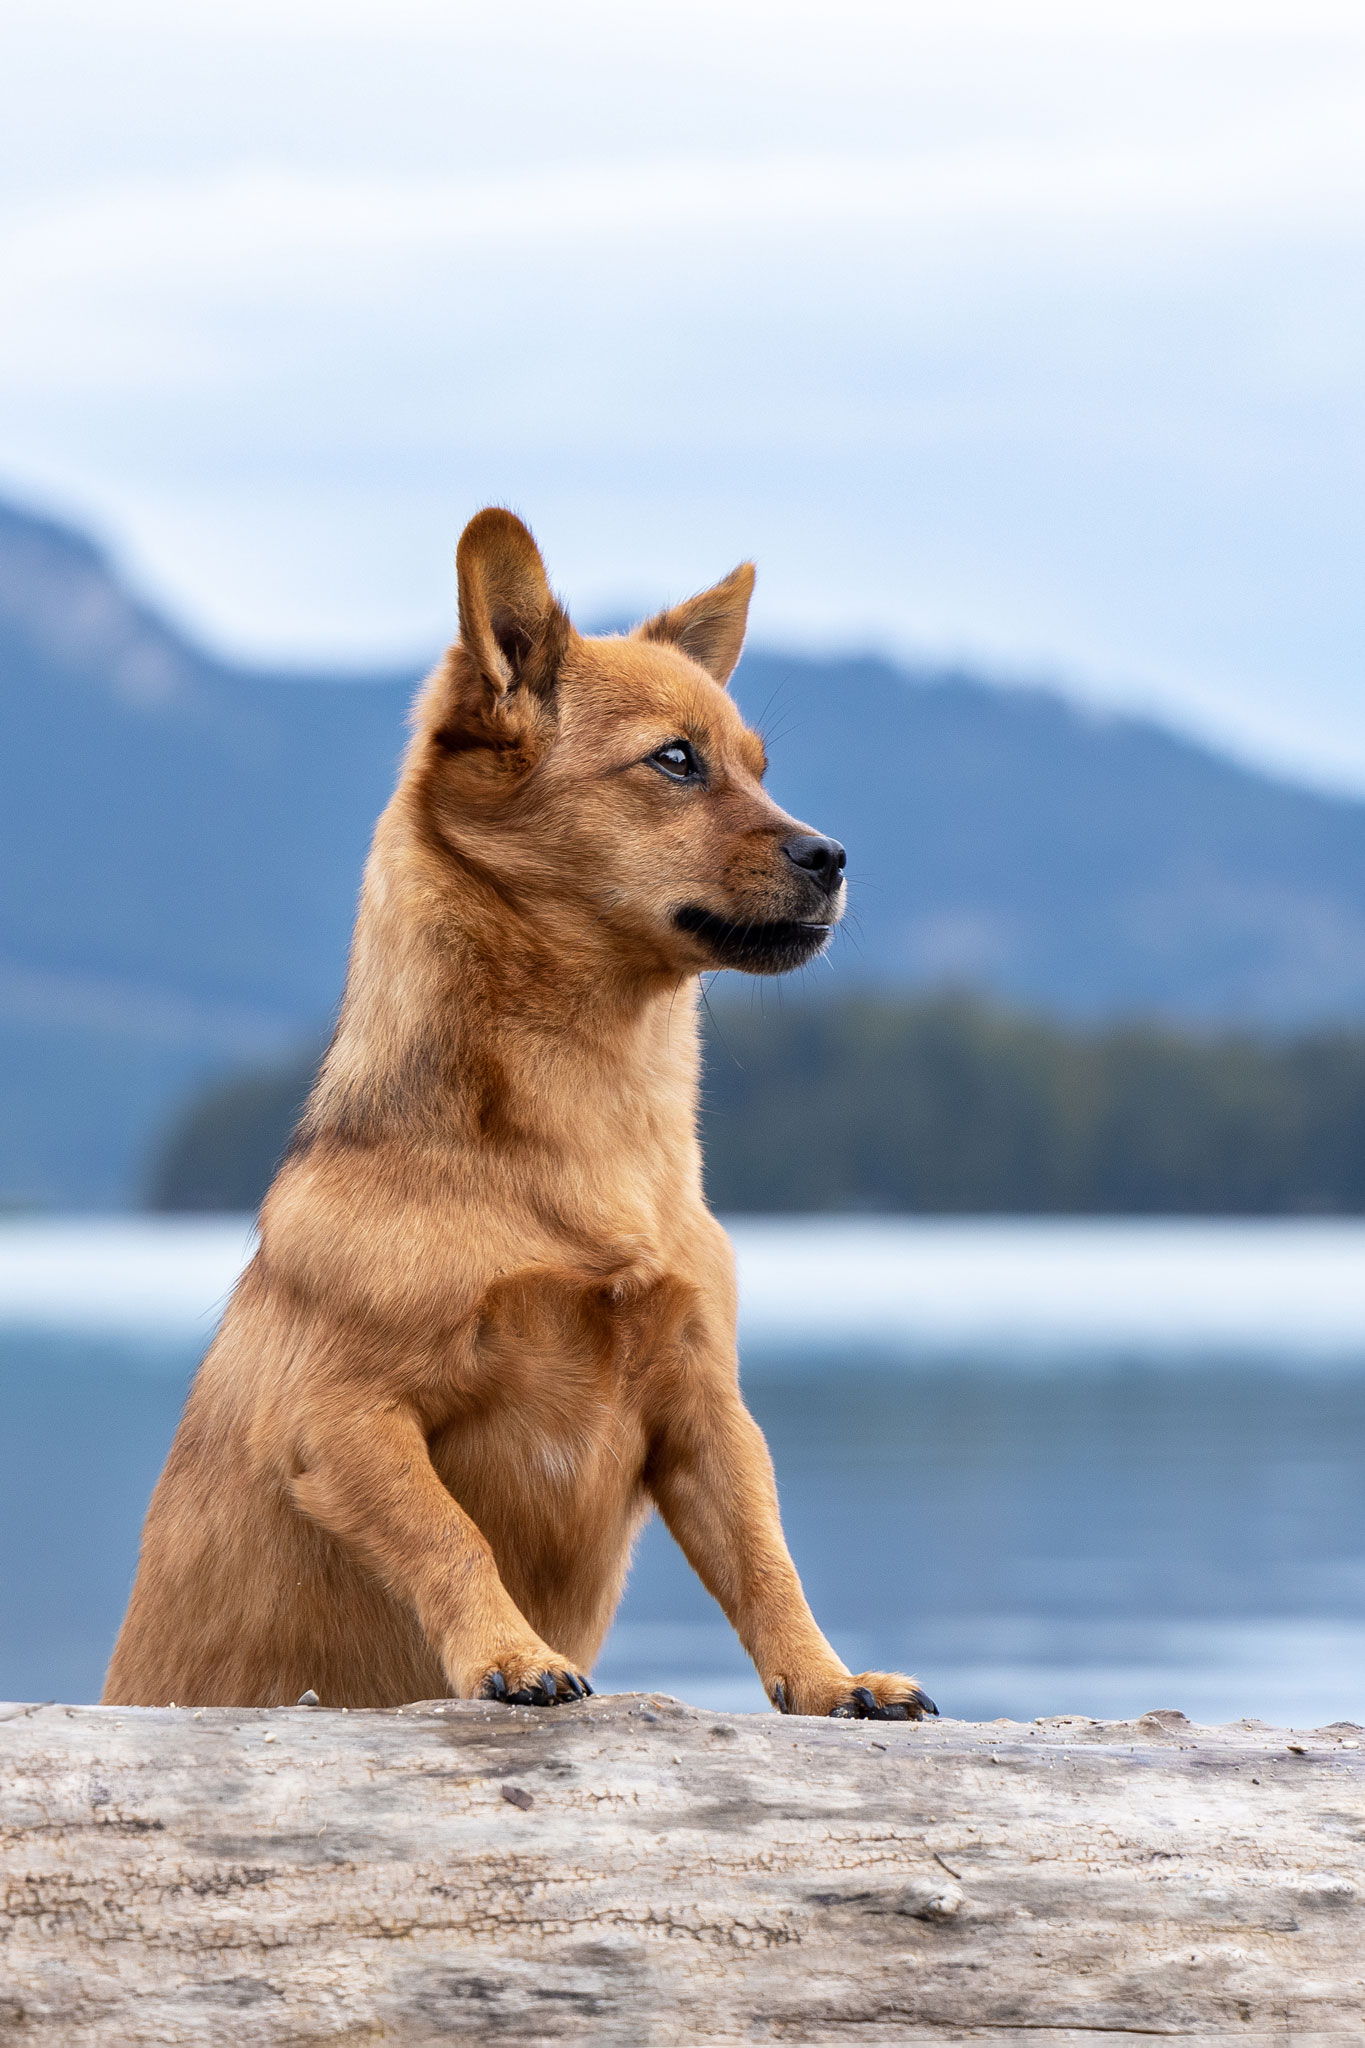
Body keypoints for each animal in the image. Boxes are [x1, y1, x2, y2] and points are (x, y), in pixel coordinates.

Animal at [104, 512, 941, 1728]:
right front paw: (509, 1653)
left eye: (759, 768)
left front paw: (830, 1681)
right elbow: (448, 1534)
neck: (588, 1138)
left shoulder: (706, 1414)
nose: (832, 856)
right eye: (675, 760)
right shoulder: (341, 1419)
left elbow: (763, 1555)